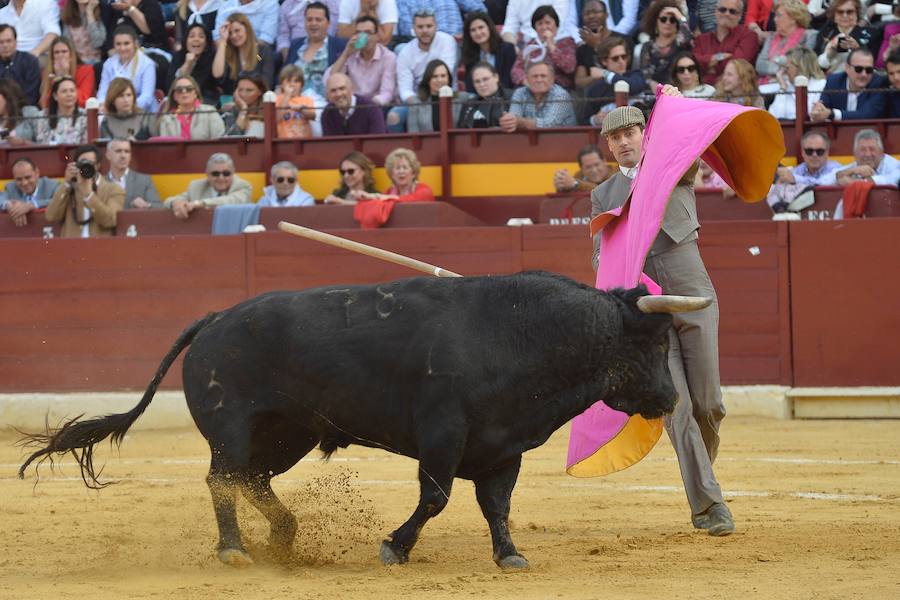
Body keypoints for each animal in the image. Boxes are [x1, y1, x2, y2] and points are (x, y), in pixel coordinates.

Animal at [17, 270, 684, 568]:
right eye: (655, 343)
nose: (671, 400)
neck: (517, 334)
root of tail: (215, 318)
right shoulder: (442, 435)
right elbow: (437, 497)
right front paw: (394, 546)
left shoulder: (503, 447)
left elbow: (496, 505)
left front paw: (510, 555)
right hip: (232, 429)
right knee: (223, 480)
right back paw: (234, 550)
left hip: (285, 435)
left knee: (251, 480)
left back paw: (283, 538)